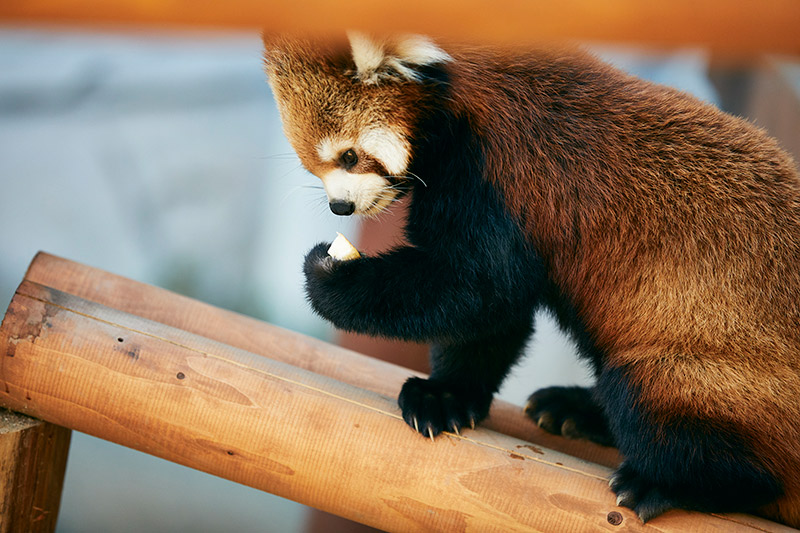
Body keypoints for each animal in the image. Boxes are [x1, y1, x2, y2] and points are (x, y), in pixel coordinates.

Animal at [262, 34, 800, 528]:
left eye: (349, 157)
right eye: (314, 164)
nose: (340, 207)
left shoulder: (498, 171)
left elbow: (481, 290)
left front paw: (329, 278)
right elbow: (489, 321)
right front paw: (448, 394)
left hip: (705, 375)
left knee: (660, 400)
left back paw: (670, 482)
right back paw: (577, 409)